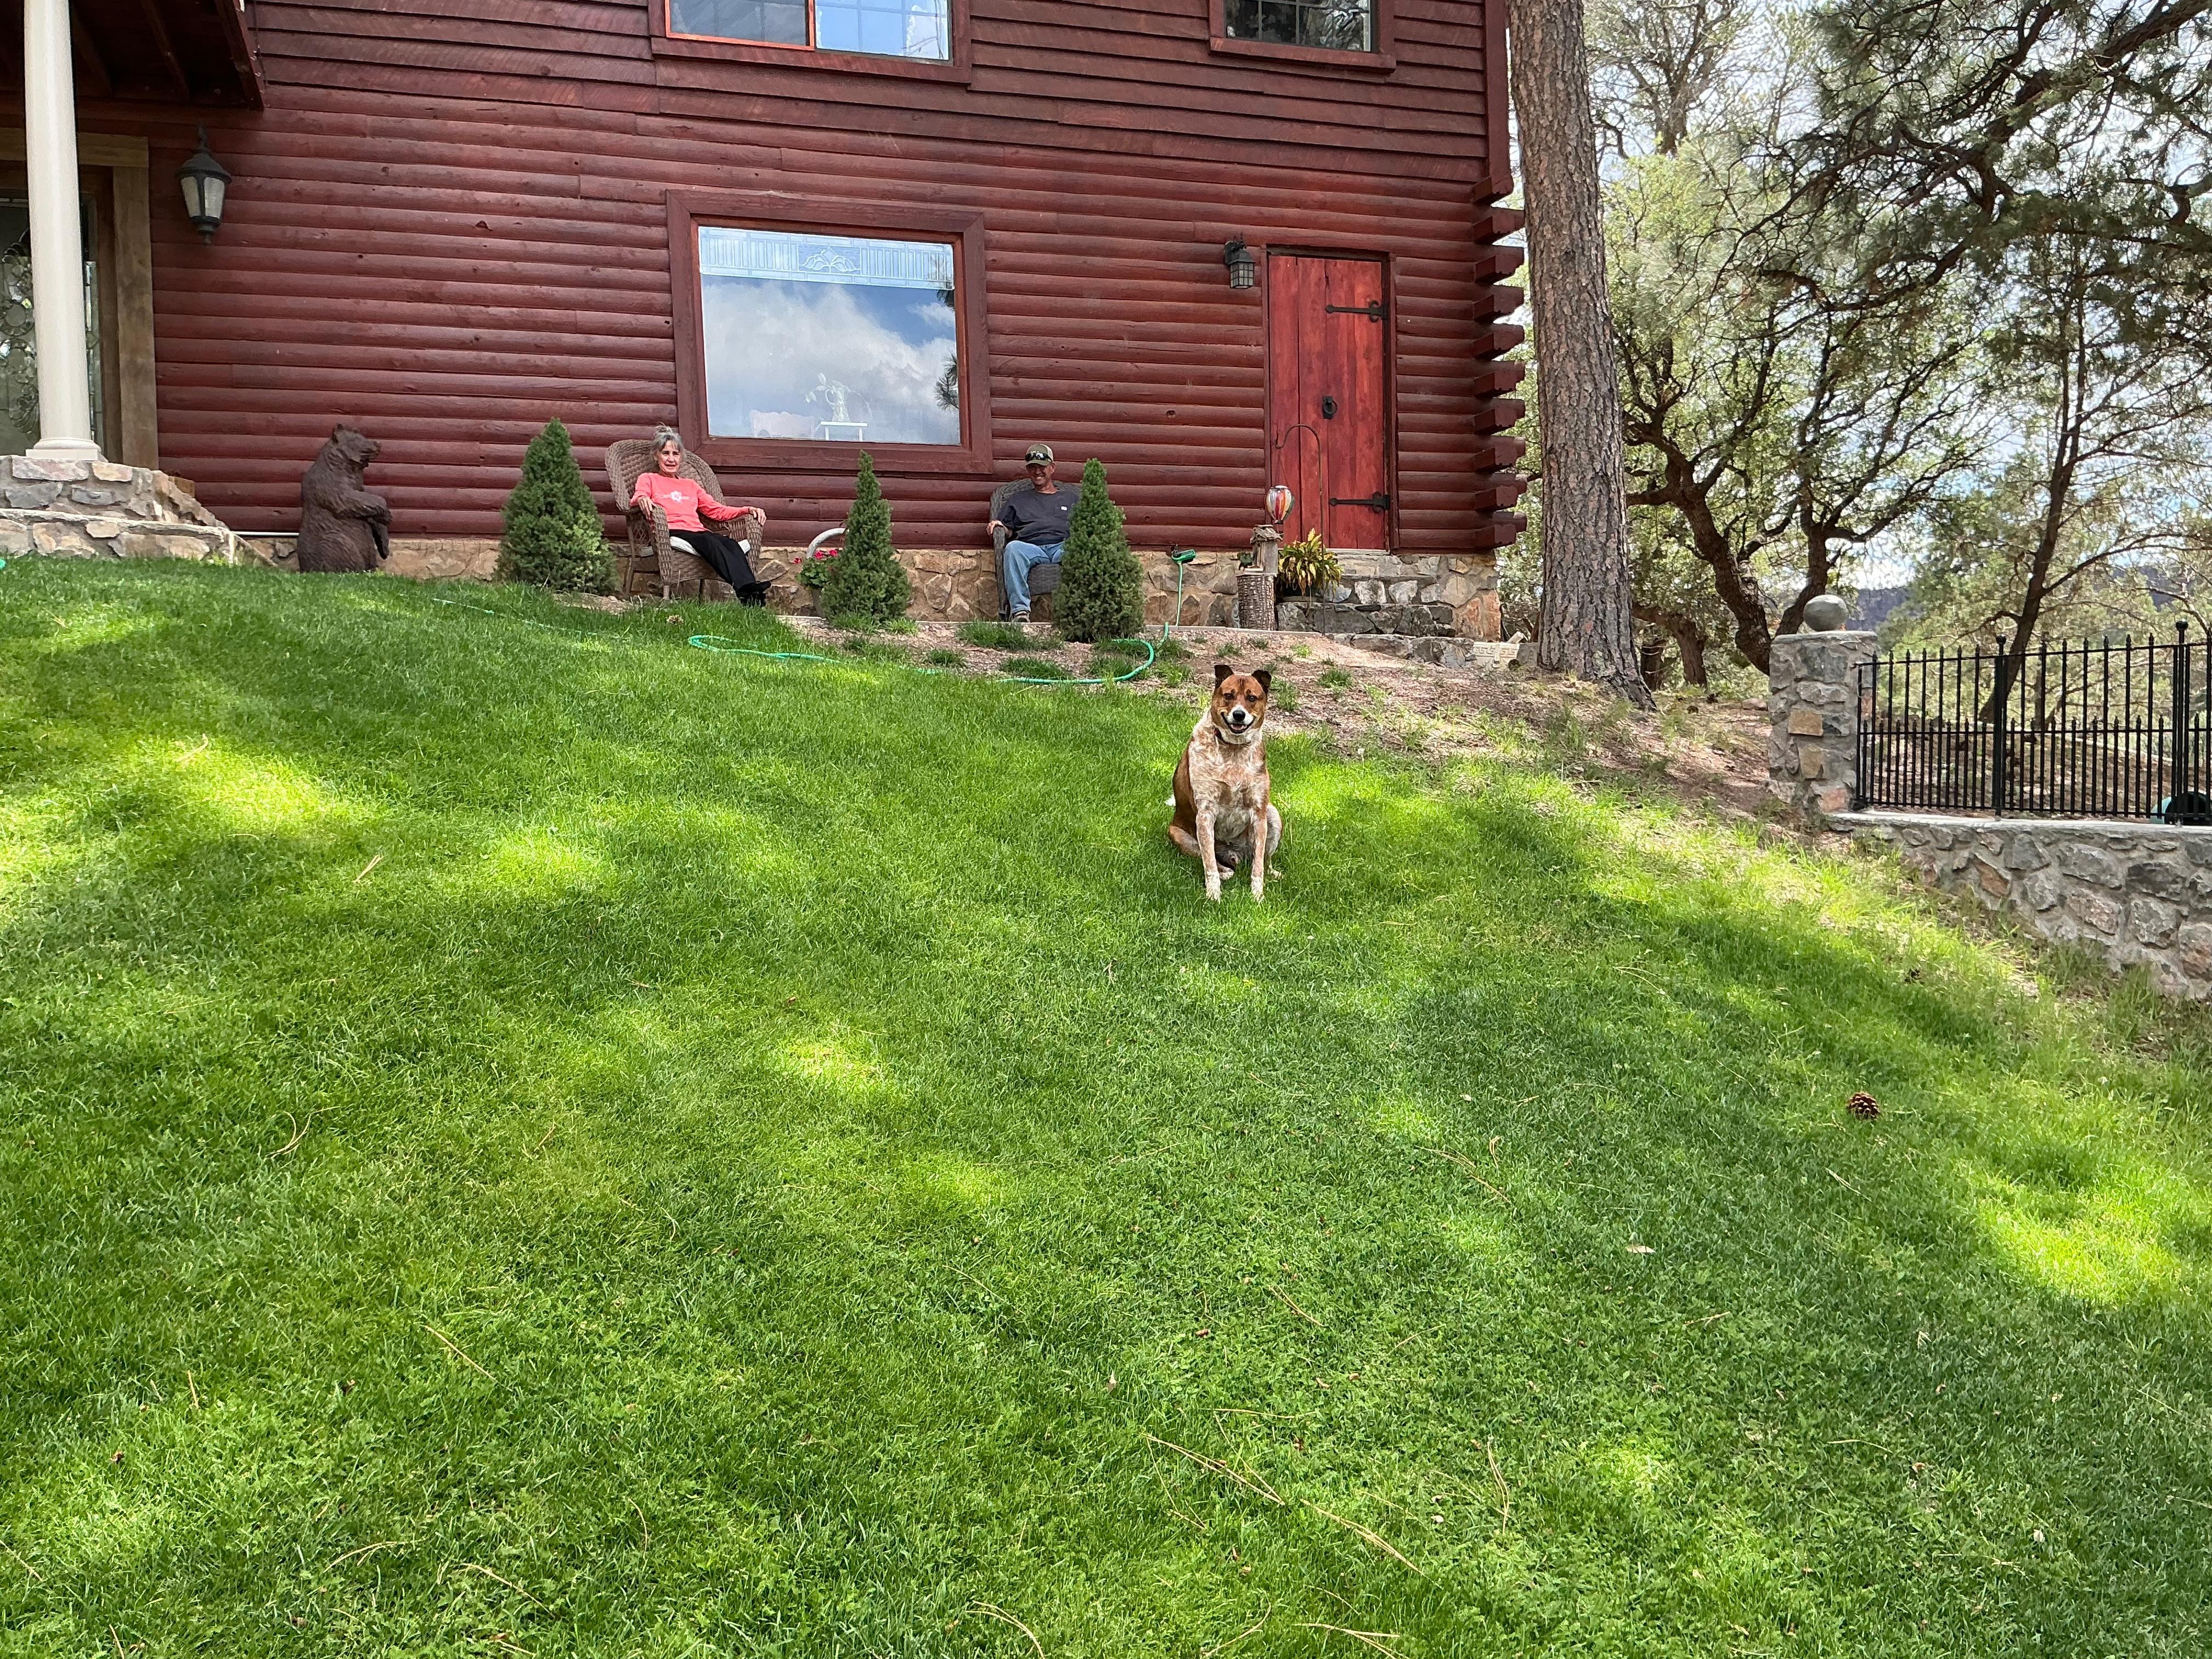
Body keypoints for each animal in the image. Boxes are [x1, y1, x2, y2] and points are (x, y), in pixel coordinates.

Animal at [1169, 664, 1283, 902]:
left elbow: (1258, 866)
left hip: (1273, 815)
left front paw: (1258, 896)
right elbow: (1209, 864)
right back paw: (1226, 872)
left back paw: (1273, 873)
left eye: (1251, 698)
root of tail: (1234, 854)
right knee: (1209, 858)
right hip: (1177, 833)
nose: (1239, 715)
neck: (1233, 750)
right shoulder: (1205, 813)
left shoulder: (1259, 812)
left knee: (1263, 859)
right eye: (1229, 695)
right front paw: (1213, 895)